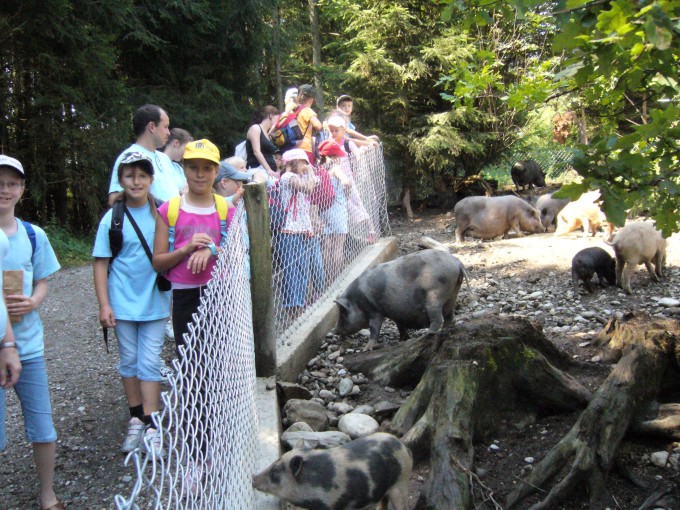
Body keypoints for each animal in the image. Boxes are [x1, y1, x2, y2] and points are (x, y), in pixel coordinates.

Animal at [333, 249, 472, 351]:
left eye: (343, 313)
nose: (335, 331)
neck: (357, 301)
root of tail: (457, 262)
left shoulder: (375, 310)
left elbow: (374, 329)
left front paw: (365, 349)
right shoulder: (396, 314)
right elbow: (400, 326)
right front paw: (401, 340)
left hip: (434, 297)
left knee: (438, 319)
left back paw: (426, 335)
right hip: (452, 296)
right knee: (450, 317)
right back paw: (445, 331)